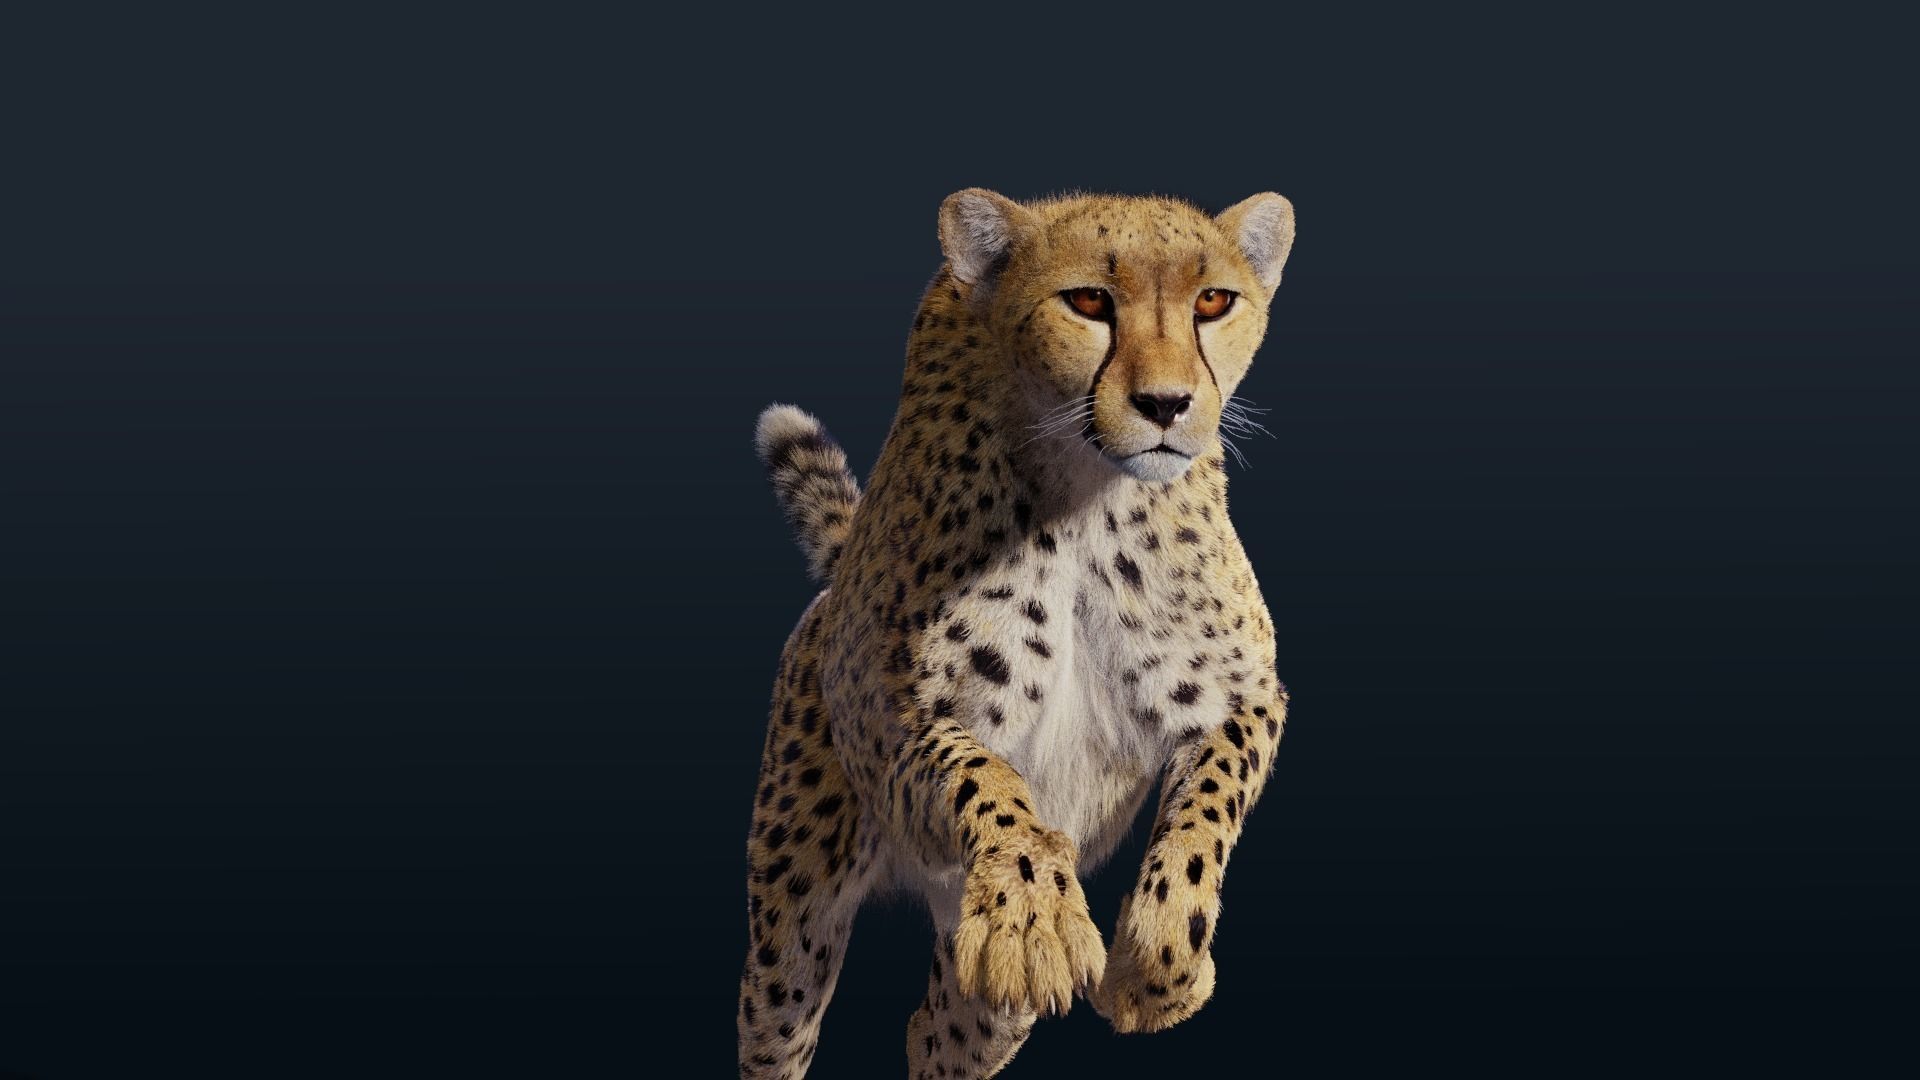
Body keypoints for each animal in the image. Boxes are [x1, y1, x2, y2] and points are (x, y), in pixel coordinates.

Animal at [739, 186, 1297, 1078]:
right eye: (1089, 302)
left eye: (1213, 301)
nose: (1167, 404)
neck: (1090, 497)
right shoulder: (900, 732)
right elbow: (988, 776)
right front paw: (1034, 913)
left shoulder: (1247, 700)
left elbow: (1209, 805)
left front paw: (1159, 964)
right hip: (794, 912)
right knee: (779, 1021)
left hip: (978, 1005)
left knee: (934, 1030)